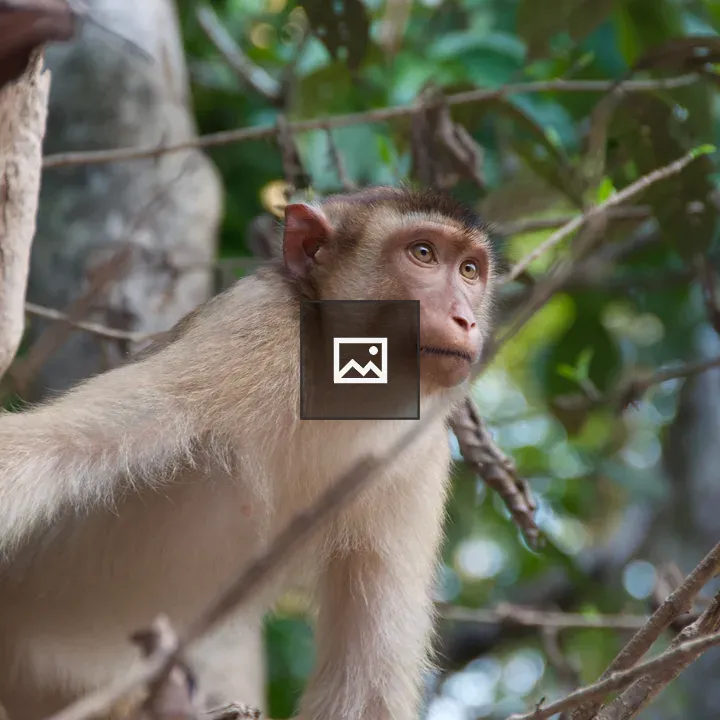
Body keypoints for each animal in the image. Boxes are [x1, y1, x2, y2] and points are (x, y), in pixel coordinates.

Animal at [0, 186, 496, 720]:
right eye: (423, 253)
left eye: (470, 270)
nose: (465, 318)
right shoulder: (253, 327)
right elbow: (62, 444)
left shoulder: (420, 449)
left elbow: (365, 689)